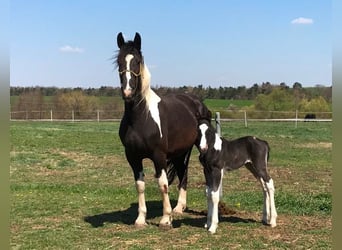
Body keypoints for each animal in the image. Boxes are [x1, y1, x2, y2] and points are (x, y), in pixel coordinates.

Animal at [115, 32, 211, 229]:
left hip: (195, 148)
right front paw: (141, 219)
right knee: (183, 173)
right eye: (119, 61)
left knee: (186, 175)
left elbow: (163, 184)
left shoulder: (158, 155)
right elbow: (140, 185)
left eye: (137, 61)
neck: (140, 118)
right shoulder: (133, 157)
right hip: (180, 152)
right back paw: (179, 208)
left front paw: (166, 219)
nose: (127, 92)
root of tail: (195, 101)